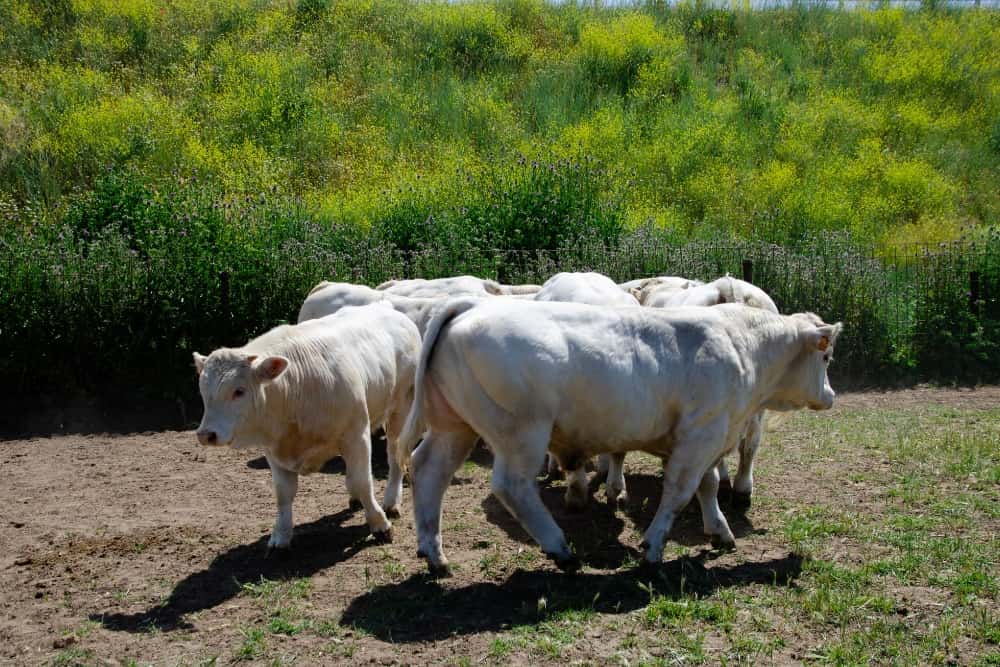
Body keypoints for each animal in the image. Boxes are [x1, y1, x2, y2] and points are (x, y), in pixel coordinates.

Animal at [193, 303, 422, 550]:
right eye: (203, 391)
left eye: (239, 391)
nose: (206, 434)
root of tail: (385, 306)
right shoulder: (273, 450)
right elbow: (283, 494)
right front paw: (280, 536)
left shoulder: (356, 434)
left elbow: (364, 482)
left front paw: (380, 524)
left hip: (402, 407)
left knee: (394, 453)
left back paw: (391, 502)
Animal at [399, 298, 841, 573]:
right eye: (826, 356)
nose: (831, 396)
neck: (741, 343)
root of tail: (471, 305)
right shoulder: (702, 434)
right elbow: (680, 492)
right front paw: (654, 546)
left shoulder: (709, 438)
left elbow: (709, 486)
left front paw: (720, 532)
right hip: (520, 433)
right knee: (512, 487)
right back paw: (561, 550)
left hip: (453, 427)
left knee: (428, 472)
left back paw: (434, 554)